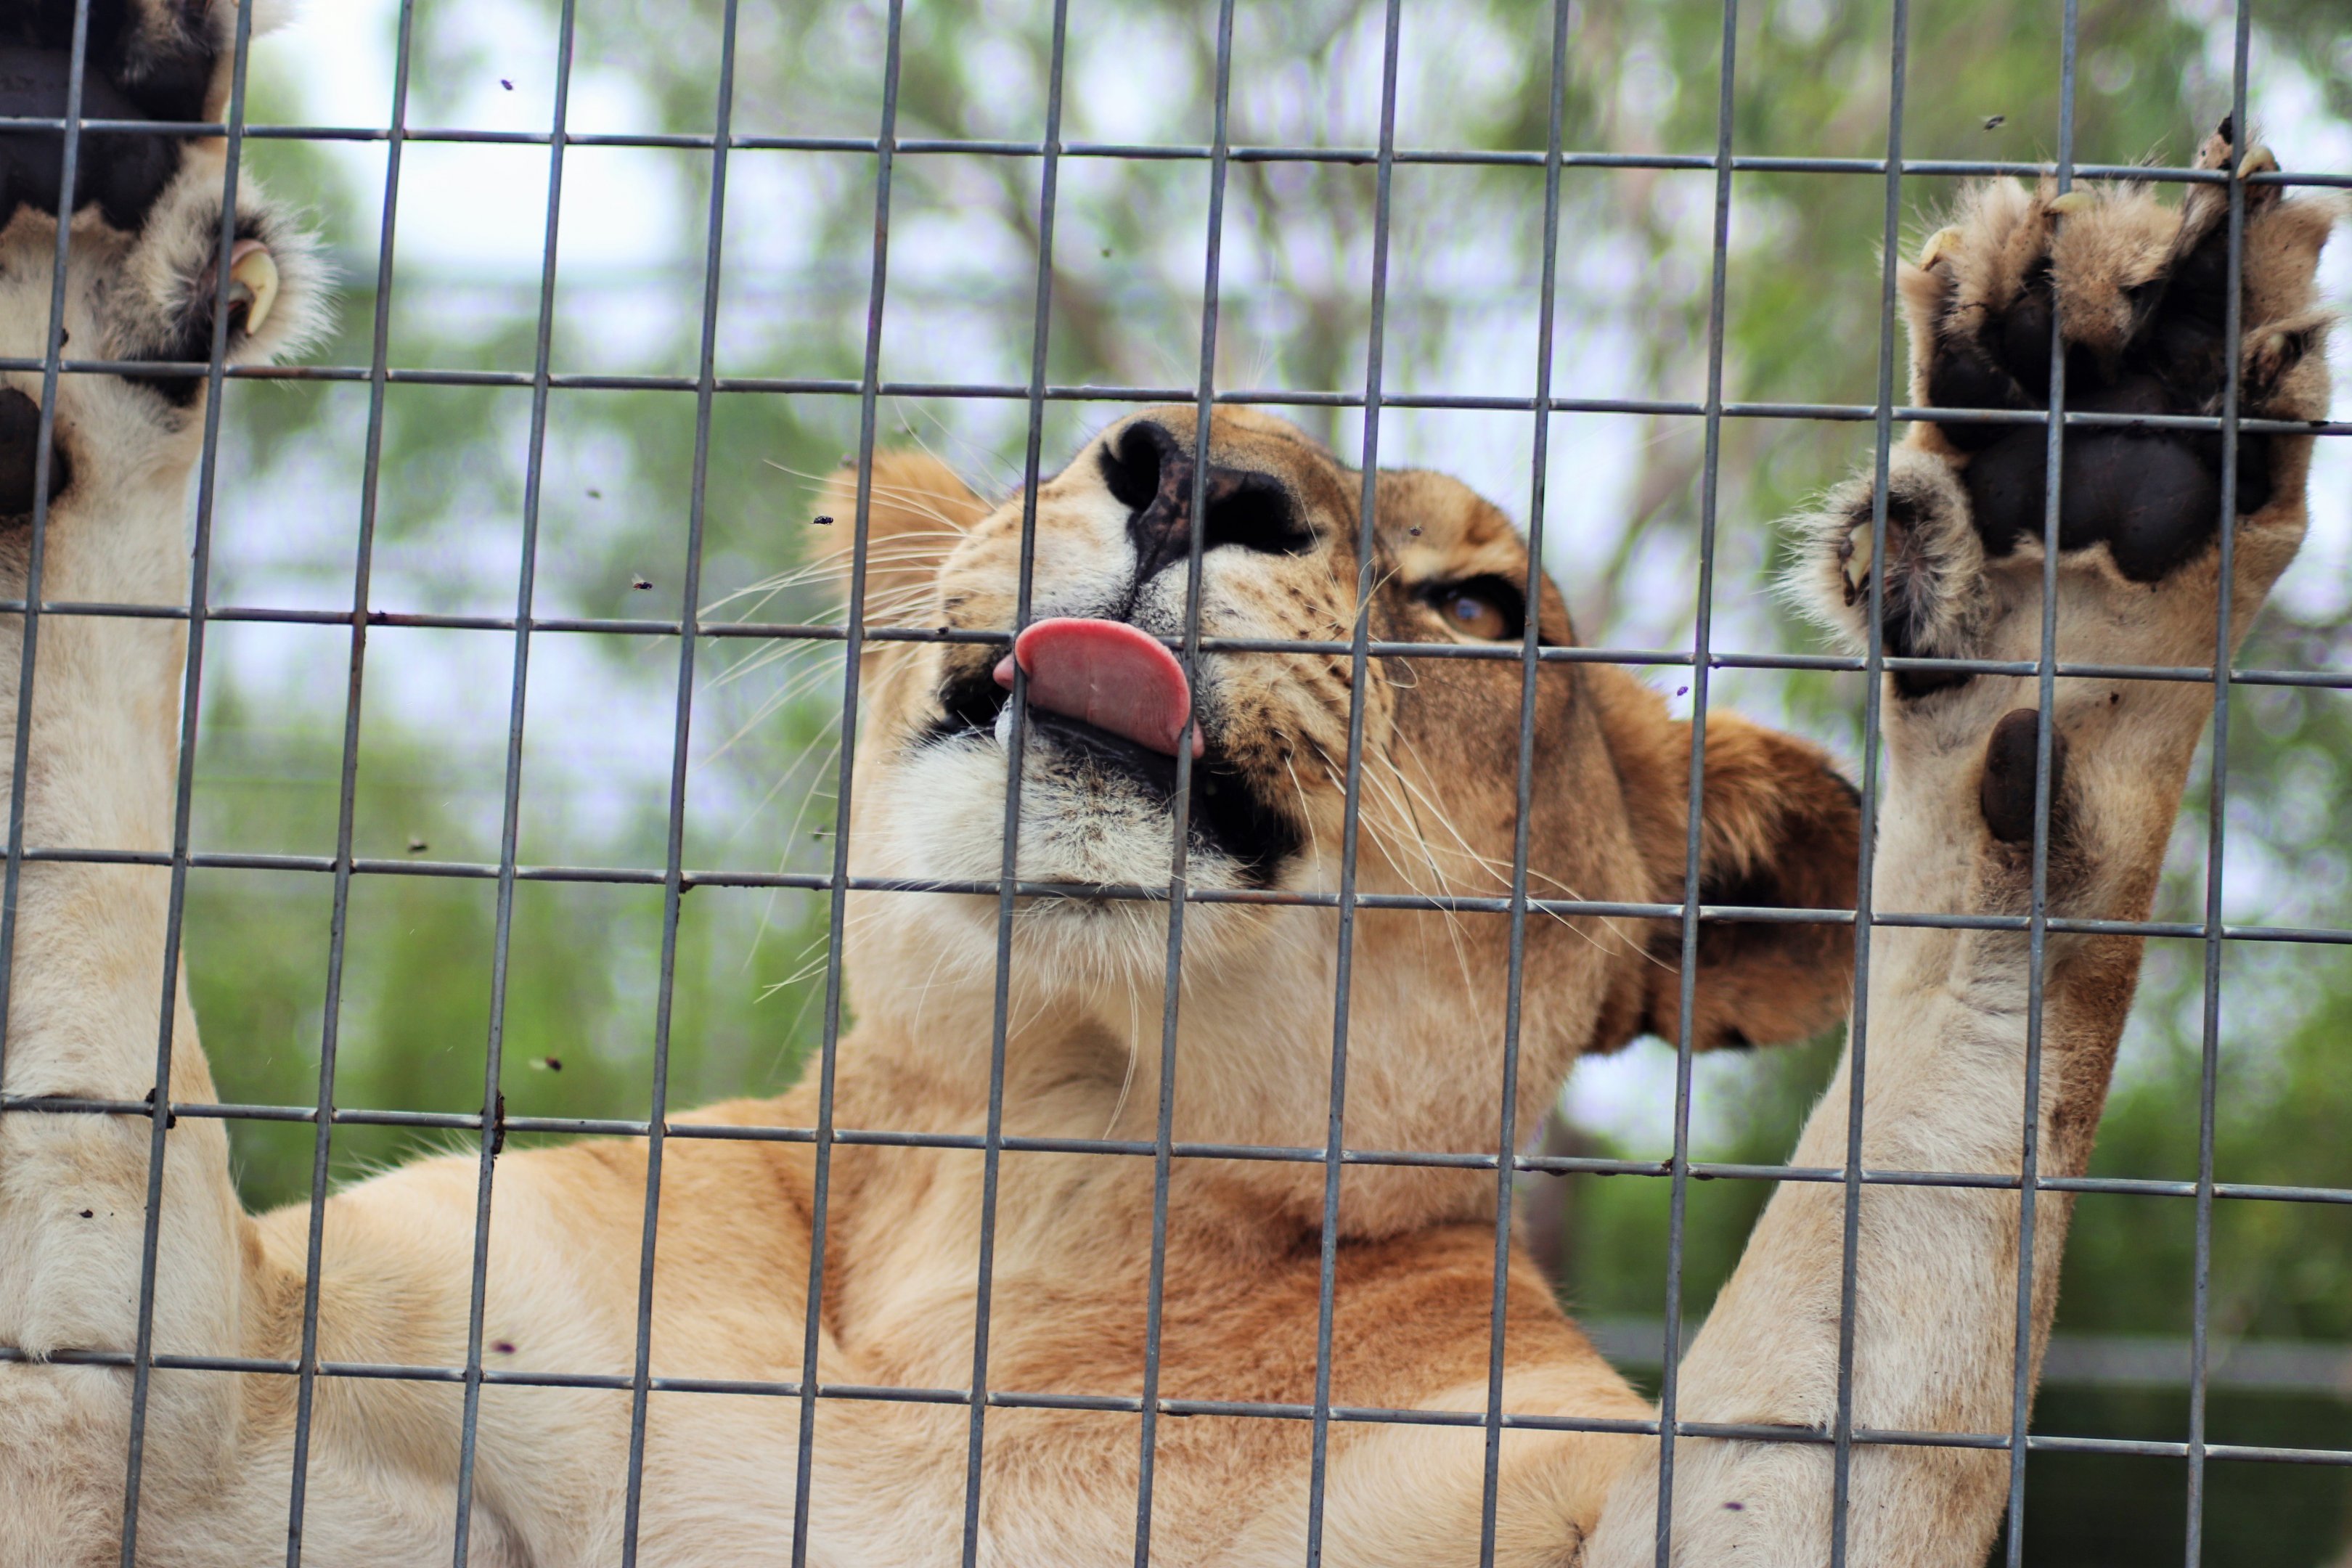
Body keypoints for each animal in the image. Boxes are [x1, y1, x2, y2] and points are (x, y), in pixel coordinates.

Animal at [0, 4, 2336, 1564]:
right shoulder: (231, 1437)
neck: (1044, 1193)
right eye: (1087, 437)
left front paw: (2083, 526)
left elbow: (1926, 1168)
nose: (1188, 471)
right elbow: (77, 948)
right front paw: (77, 226)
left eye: (1480, 599)